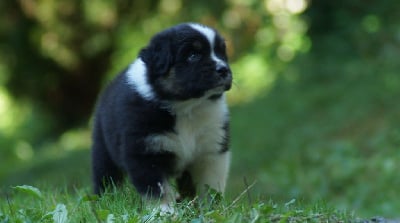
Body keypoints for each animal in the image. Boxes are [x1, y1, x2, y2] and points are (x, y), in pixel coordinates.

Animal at [92, 23, 233, 206]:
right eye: (193, 55)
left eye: (221, 53)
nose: (224, 70)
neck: (186, 107)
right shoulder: (146, 153)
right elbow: (159, 192)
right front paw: (166, 211)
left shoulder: (212, 148)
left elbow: (210, 186)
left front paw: (212, 207)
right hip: (103, 150)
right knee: (106, 178)